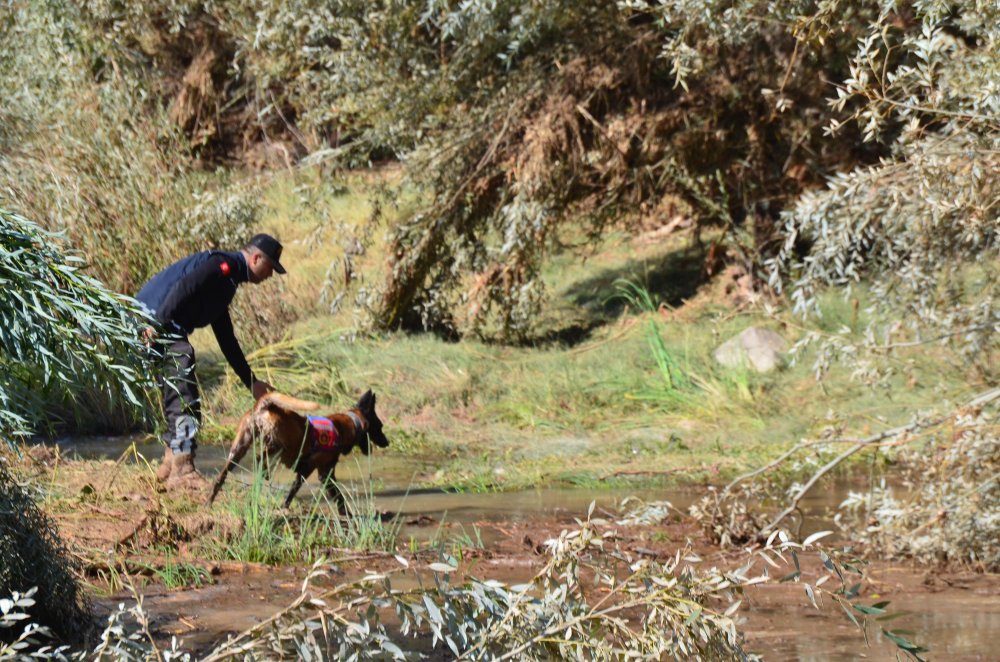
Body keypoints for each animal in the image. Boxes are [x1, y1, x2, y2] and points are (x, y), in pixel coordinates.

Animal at [205, 392, 388, 510]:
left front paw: (284, 507)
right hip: (278, 445)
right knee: (259, 457)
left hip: (238, 449)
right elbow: (339, 497)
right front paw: (347, 515)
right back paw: (264, 470)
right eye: (380, 426)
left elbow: (293, 490)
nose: (387, 442)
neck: (348, 424)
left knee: (221, 476)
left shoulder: (308, 471)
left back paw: (209, 502)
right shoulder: (324, 473)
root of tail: (266, 406)